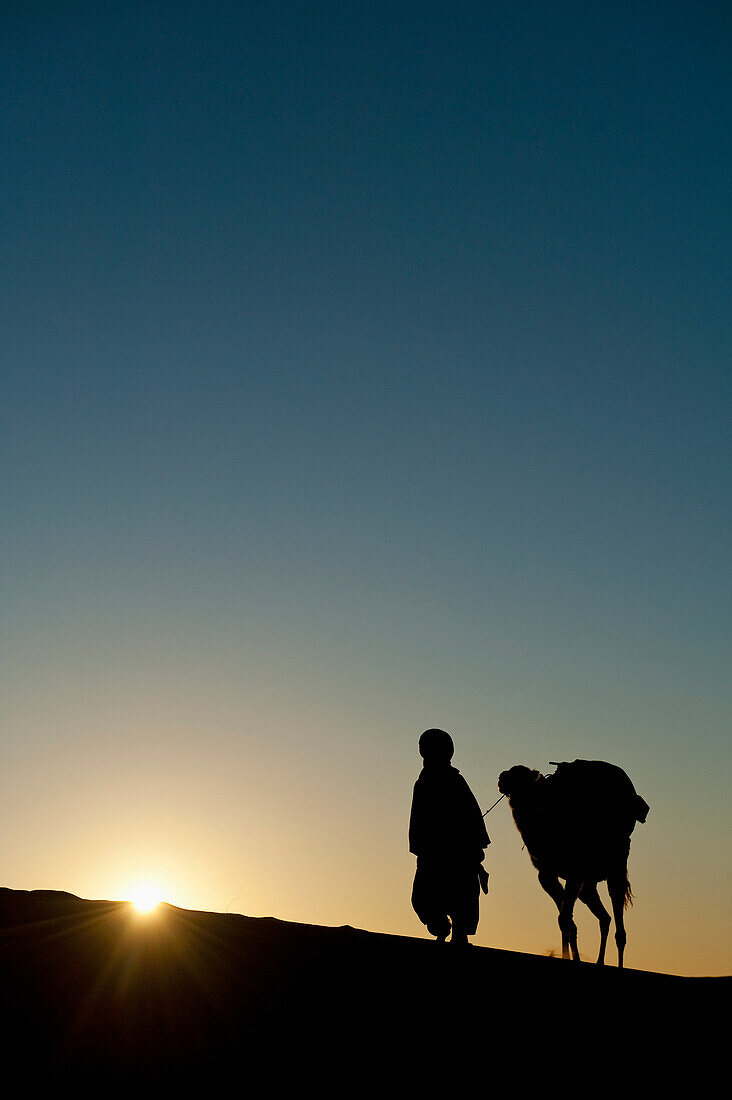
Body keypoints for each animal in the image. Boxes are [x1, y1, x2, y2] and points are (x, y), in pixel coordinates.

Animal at [497, 761, 647, 968]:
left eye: (520, 774)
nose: (501, 778)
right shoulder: (546, 875)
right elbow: (566, 921)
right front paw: (569, 956)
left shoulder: (574, 872)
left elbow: (565, 918)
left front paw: (567, 956)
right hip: (588, 886)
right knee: (605, 918)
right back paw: (599, 961)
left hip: (615, 867)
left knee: (618, 920)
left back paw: (618, 964)